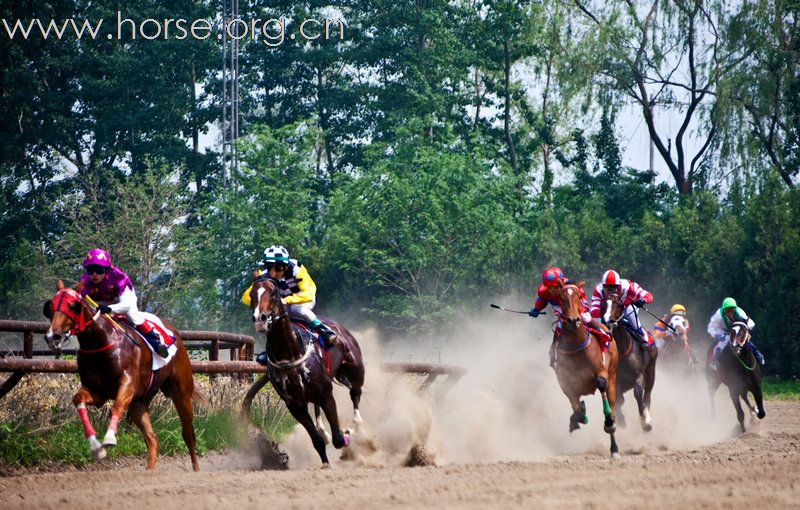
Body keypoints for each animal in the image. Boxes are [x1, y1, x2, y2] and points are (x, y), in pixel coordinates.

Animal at [43, 278, 200, 470]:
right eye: (50, 306)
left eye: (73, 305)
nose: (53, 336)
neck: (101, 342)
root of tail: (175, 334)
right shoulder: (98, 392)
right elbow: (78, 399)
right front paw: (95, 447)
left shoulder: (128, 384)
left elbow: (116, 406)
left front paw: (109, 439)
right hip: (139, 403)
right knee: (152, 438)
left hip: (181, 394)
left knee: (188, 434)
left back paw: (196, 470)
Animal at [248, 272, 368, 468]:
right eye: (251, 295)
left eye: (273, 293)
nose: (260, 319)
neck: (290, 354)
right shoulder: (294, 404)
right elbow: (317, 440)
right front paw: (325, 462)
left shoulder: (326, 393)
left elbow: (338, 439)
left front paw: (346, 436)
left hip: (356, 370)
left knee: (355, 393)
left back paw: (356, 425)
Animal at [552, 280, 620, 460]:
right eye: (561, 298)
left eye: (578, 296)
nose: (573, 320)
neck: (576, 345)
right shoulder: (565, 381)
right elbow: (576, 408)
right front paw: (578, 417)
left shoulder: (601, 372)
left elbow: (601, 382)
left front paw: (608, 422)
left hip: (613, 375)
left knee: (612, 405)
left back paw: (614, 447)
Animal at [600, 292, 656, 432]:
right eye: (602, 303)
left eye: (618, 304)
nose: (607, 321)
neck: (621, 351)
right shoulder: (615, 381)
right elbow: (617, 399)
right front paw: (621, 421)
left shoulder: (640, 375)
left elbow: (638, 393)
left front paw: (645, 422)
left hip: (651, 371)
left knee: (647, 394)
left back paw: (647, 418)